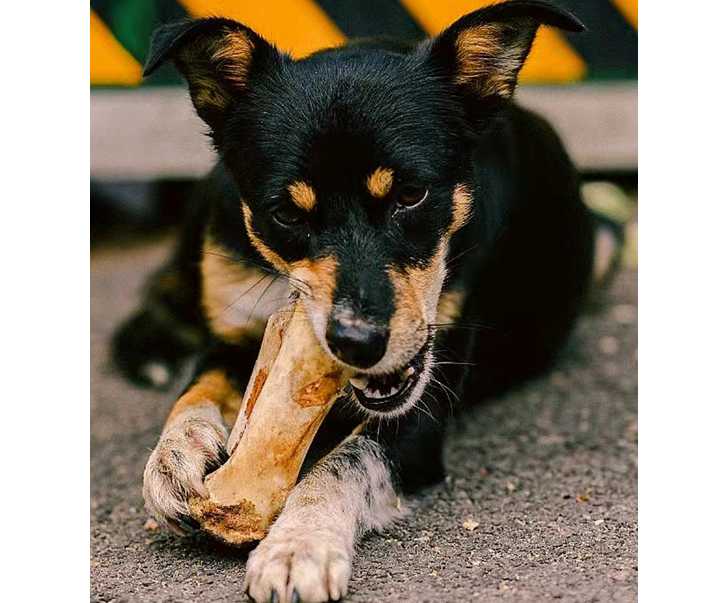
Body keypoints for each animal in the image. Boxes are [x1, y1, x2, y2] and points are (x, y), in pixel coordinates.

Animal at [112, 2, 595, 601]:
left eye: (411, 195)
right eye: (286, 213)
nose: (358, 343)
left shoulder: (423, 413)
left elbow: (343, 463)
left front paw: (298, 546)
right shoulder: (235, 333)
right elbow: (194, 395)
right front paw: (172, 459)